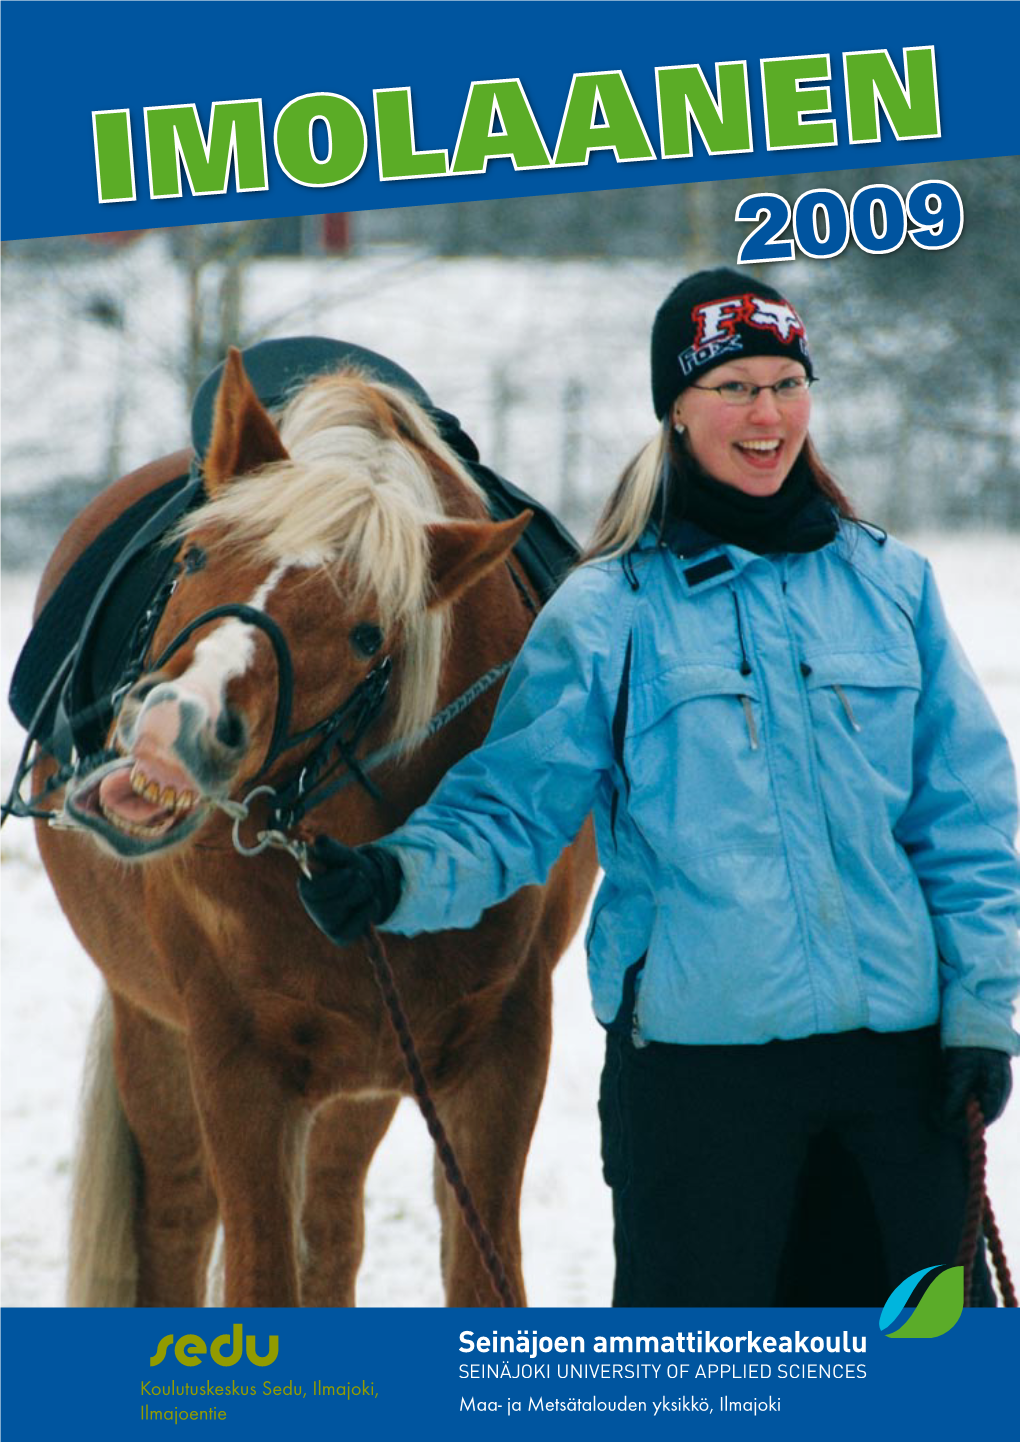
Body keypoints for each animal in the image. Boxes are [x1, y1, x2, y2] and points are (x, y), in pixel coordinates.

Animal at [31, 348, 603, 1309]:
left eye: (369, 635)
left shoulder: (503, 1047)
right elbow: (261, 1277)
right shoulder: (237, 1063)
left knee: (330, 1232)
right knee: (177, 1225)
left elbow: (480, 1277)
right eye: (194, 553)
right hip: (157, 1029)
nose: (175, 726)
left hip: (362, 1075)